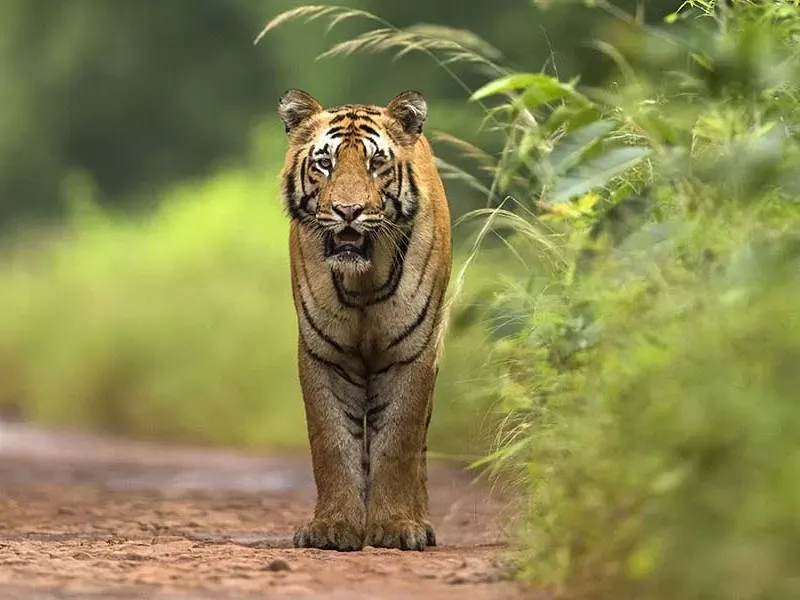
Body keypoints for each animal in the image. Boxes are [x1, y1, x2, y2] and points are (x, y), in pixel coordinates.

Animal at [277, 89, 452, 551]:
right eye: (324, 163)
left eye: (376, 163)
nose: (348, 210)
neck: (363, 279)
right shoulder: (325, 353)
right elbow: (333, 442)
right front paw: (332, 527)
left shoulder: (413, 351)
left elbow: (398, 442)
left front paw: (396, 526)